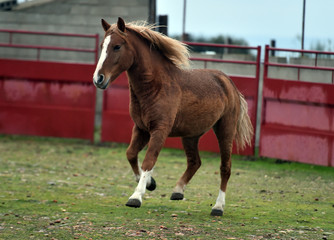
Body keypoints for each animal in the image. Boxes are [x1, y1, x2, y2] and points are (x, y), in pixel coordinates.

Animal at [92, 16, 253, 216]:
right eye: (102, 46)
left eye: (117, 46)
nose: (98, 79)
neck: (156, 86)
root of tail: (228, 82)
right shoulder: (141, 129)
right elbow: (130, 154)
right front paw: (150, 183)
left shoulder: (159, 130)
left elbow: (149, 160)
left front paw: (136, 196)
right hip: (191, 135)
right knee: (194, 162)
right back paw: (178, 191)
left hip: (225, 130)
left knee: (225, 167)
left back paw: (218, 207)